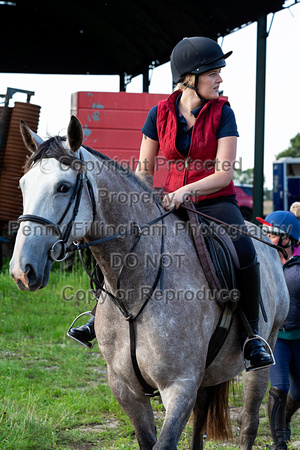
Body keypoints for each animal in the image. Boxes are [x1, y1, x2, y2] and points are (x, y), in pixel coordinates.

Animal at [10, 117, 290, 450]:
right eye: (22, 186)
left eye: (63, 187)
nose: (22, 271)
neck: (135, 289)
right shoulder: (126, 388)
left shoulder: (179, 387)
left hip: (261, 359)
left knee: (249, 423)